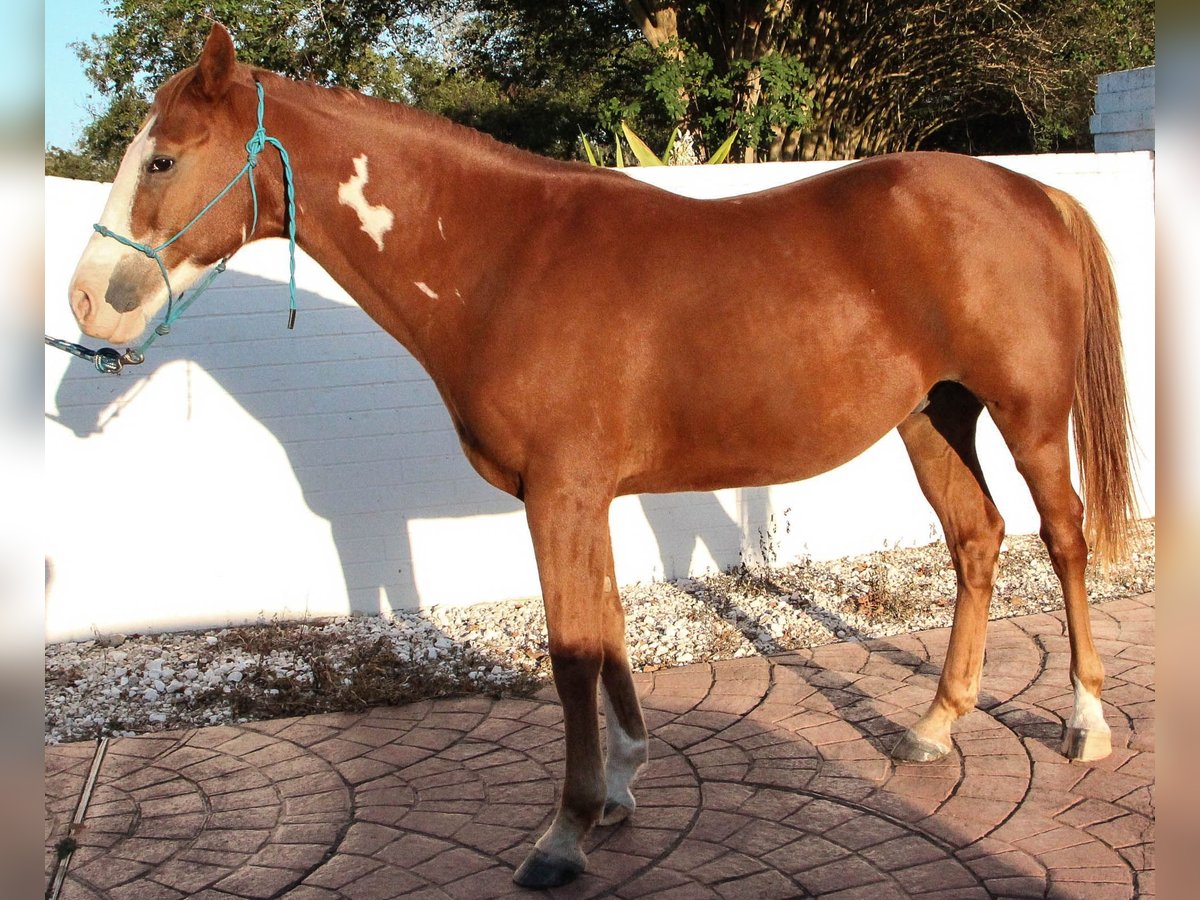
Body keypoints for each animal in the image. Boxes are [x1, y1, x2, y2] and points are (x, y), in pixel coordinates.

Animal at [65, 24, 1132, 892]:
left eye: (162, 159)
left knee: (1064, 537)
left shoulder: (560, 496)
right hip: (932, 417)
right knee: (977, 540)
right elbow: (609, 632)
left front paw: (564, 833)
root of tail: (1033, 190)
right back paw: (934, 726)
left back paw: (1085, 721)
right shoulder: (589, 499)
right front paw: (621, 787)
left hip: (1029, 418)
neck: (505, 260)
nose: (86, 303)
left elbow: (571, 654)